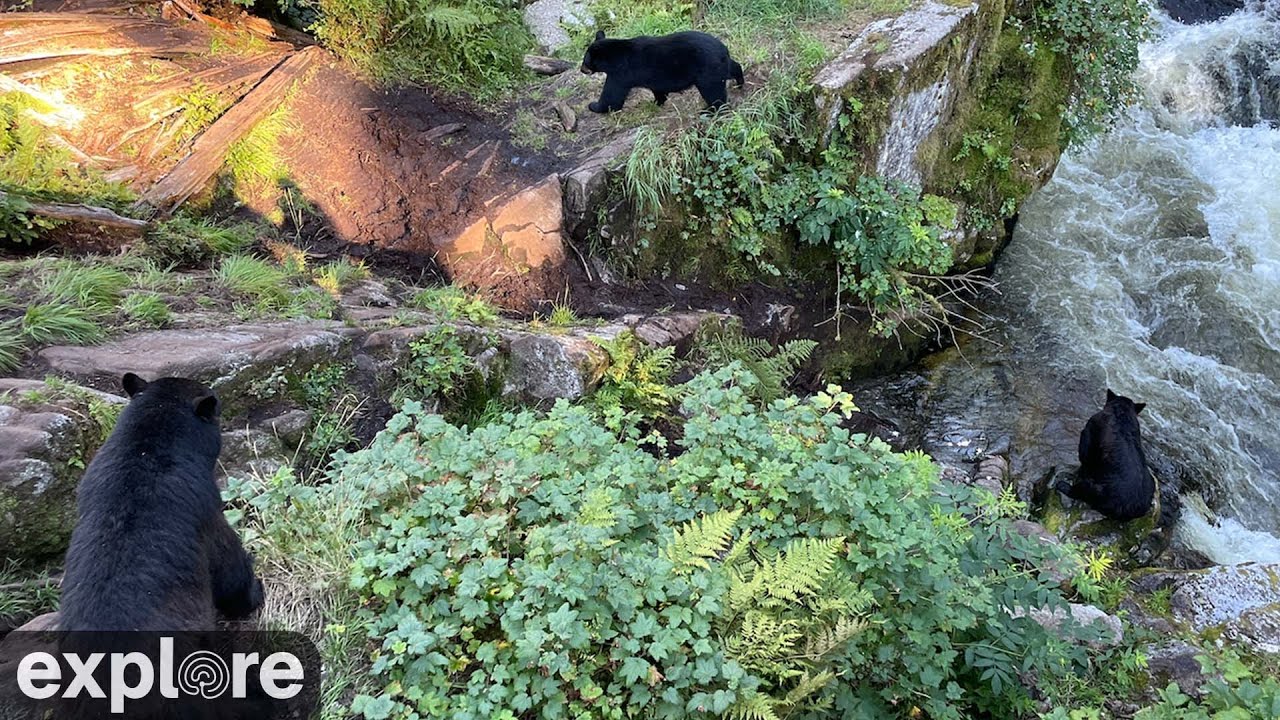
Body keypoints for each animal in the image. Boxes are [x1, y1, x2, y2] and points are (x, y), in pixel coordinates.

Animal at [580, 30, 744, 114]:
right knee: (733, 68)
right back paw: (739, 82)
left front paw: (593, 106)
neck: (614, 57)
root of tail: (723, 48)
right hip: (719, 65)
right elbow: (658, 90)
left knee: (714, 92)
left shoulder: (620, 74)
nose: (582, 70)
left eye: (585, 61)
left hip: (707, 70)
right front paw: (657, 102)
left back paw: (710, 110)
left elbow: (612, 97)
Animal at [1055, 389, 1156, 521]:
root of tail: (1127, 510)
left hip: (1098, 490)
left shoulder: (1090, 430)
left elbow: (1085, 457)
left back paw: (1063, 486)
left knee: (1083, 490)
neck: (1122, 412)